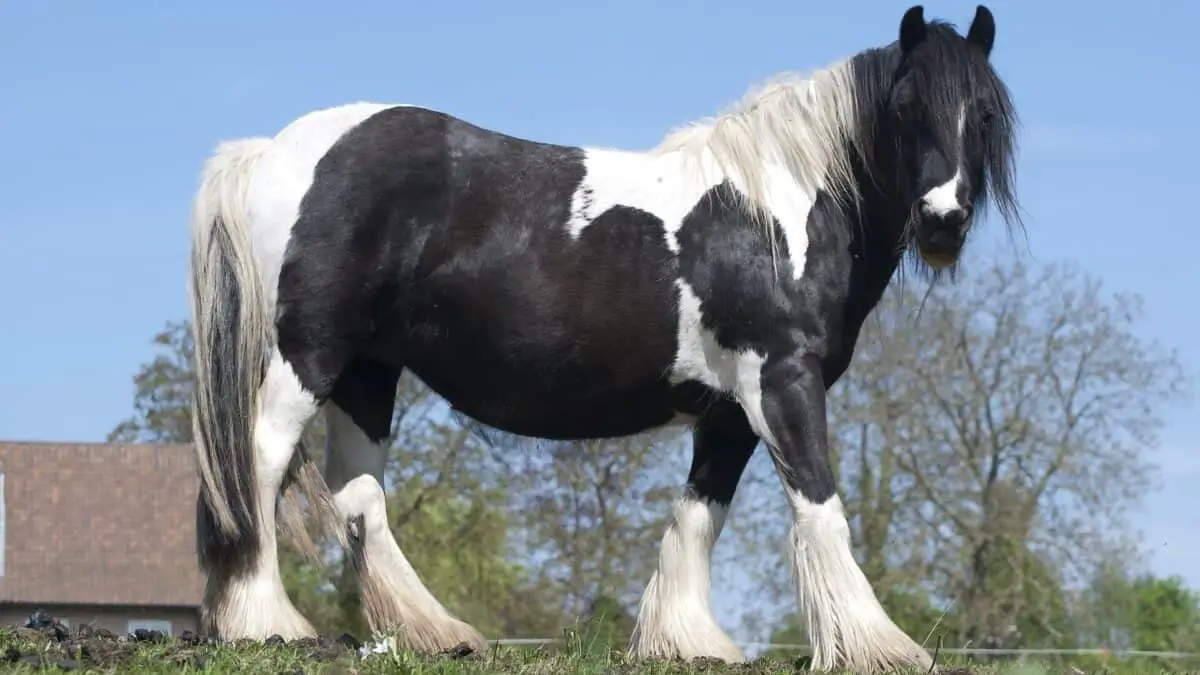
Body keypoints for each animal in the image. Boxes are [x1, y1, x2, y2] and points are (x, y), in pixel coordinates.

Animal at [184, 6, 1012, 672]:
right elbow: (820, 504)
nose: (943, 221)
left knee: (360, 495)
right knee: (257, 465)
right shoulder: (784, 380)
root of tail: (272, 150)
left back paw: (435, 632)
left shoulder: (728, 411)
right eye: (905, 106)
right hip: (307, 355)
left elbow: (699, 512)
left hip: (367, 371)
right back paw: (265, 622)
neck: (776, 214)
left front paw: (687, 640)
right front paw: (879, 644)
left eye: (985, 113)